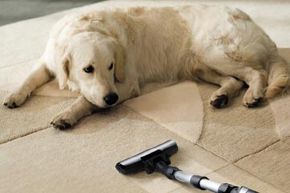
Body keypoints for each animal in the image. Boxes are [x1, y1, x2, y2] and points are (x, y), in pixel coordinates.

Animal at [2, 4, 290, 129]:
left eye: (111, 66)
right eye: (88, 69)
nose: (112, 98)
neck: (84, 27)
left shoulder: (127, 83)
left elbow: (86, 100)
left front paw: (67, 115)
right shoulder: (48, 60)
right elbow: (30, 77)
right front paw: (14, 95)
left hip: (215, 52)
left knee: (255, 72)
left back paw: (254, 95)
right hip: (199, 64)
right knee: (234, 79)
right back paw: (221, 97)